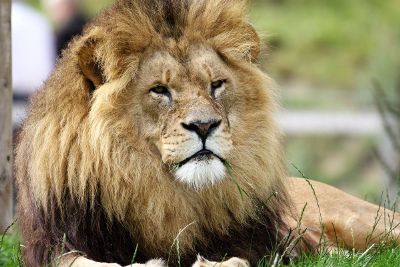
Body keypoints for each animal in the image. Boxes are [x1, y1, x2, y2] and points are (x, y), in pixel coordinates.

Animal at [15, 0, 400, 267]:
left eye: (216, 85)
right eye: (160, 90)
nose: (204, 125)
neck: (157, 189)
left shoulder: (263, 243)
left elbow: (239, 259)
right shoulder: (52, 244)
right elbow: (83, 262)